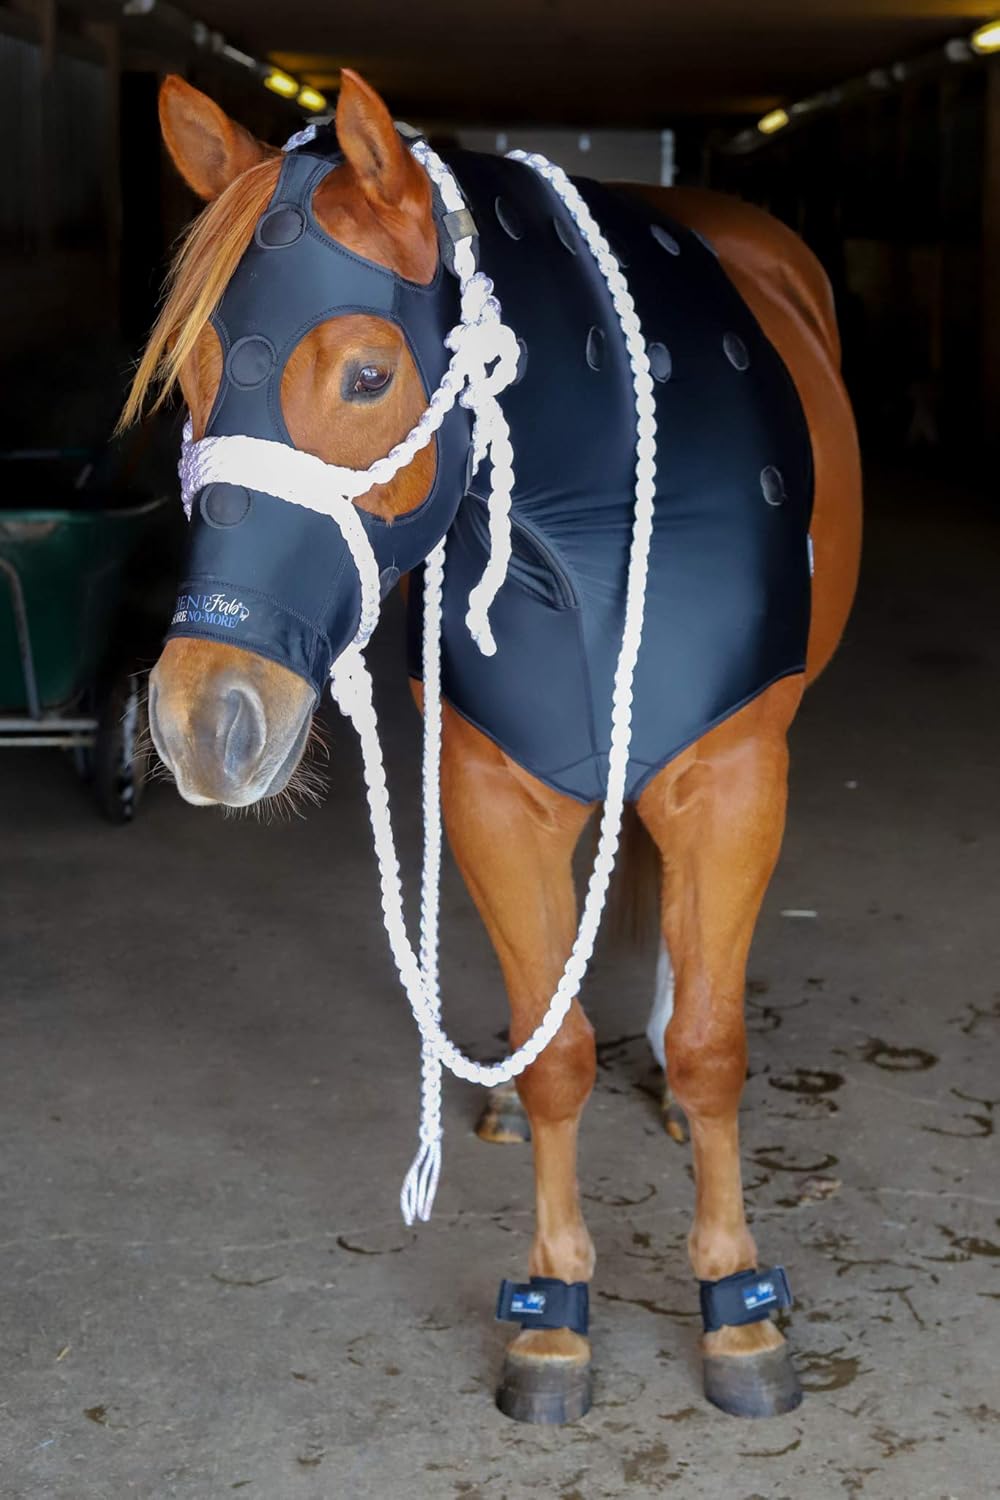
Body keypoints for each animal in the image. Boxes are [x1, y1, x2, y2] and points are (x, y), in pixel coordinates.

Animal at [125, 69, 862, 1425]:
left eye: (370, 375)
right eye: (191, 374)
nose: (205, 722)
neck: (589, 512)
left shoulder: (734, 778)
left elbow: (712, 1049)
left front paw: (737, 1308)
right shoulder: (491, 793)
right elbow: (559, 1057)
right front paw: (552, 1311)